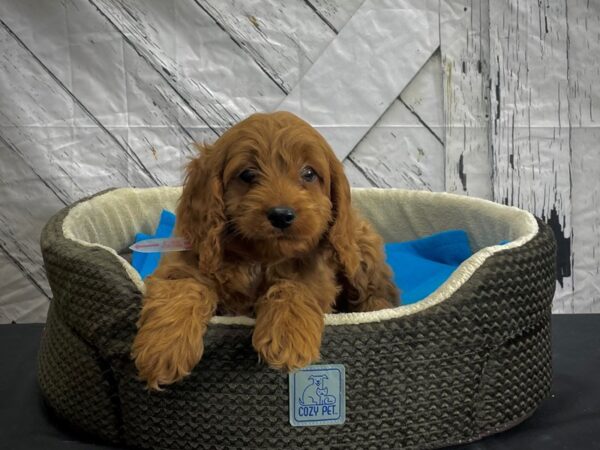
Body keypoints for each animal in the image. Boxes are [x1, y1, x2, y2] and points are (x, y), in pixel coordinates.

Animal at [131, 110, 398, 388]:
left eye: (309, 173)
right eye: (248, 175)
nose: (281, 215)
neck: (259, 257)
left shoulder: (315, 273)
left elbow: (296, 286)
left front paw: (288, 335)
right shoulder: (187, 261)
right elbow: (183, 287)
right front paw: (164, 347)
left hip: (359, 249)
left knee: (378, 291)